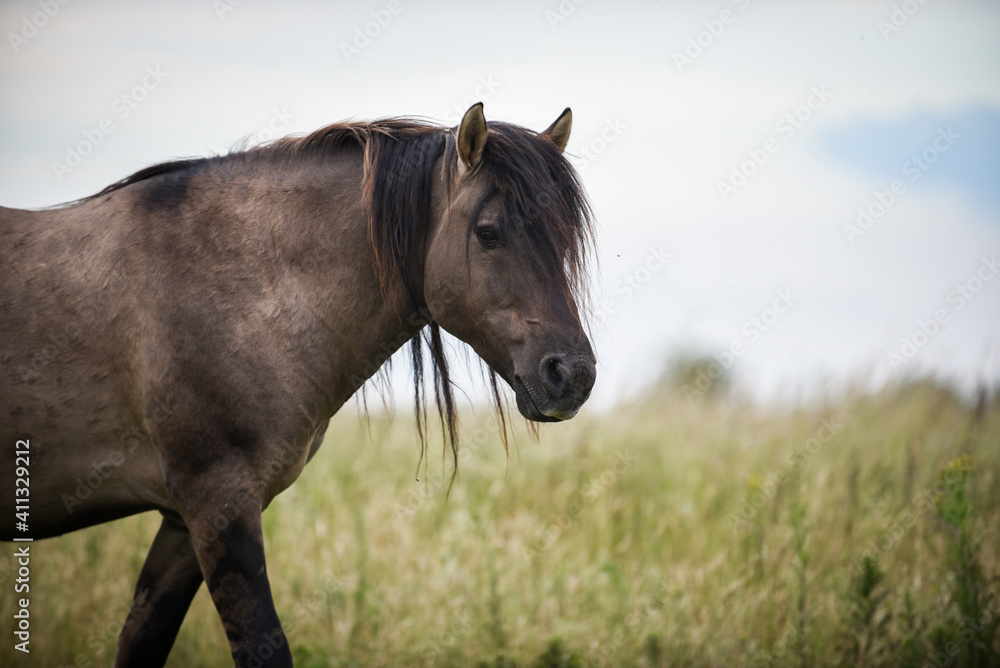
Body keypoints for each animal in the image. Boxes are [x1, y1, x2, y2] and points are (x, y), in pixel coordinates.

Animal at [0, 102, 592, 664]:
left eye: (565, 240)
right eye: (488, 233)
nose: (574, 376)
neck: (245, 288)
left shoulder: (182, 521)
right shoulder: (217, 501)